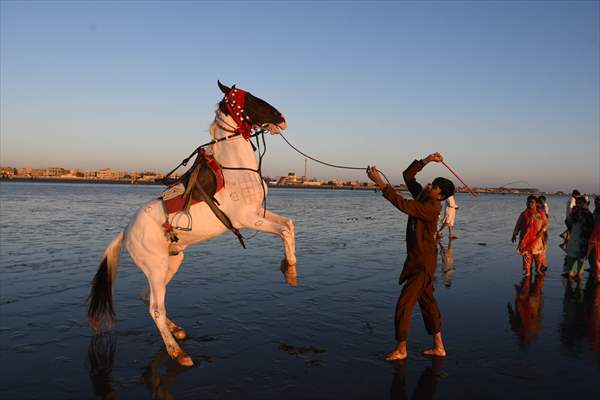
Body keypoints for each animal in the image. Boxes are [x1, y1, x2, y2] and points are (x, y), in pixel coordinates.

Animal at [86, 81, 298, 366]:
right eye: (251, 99)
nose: (281, 118)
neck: (235, 170)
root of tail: (126, 232)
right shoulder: (248, 219)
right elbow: (284, 230)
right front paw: (290, 271)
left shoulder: (258, 213)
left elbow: (289, 224)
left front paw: (289, 268)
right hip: (156, 267)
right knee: (155, 309)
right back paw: (177, 353)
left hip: (172, 261)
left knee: (149, 299)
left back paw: (176, 331)